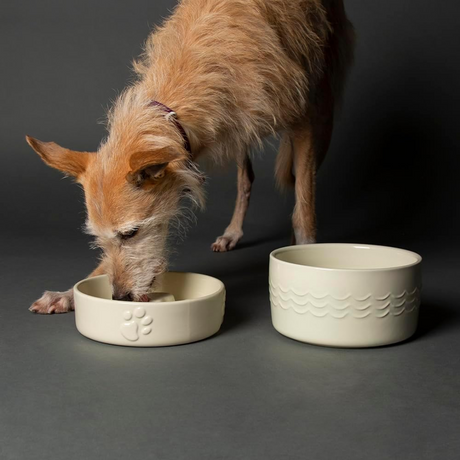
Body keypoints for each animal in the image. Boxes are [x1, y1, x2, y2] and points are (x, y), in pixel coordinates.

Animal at [26, 0, 356, 312]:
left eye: (130, 234)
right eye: (98, 239)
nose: (119, 297)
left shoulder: (304, 119)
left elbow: (304, 204)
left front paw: (307, 252)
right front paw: (69, 293)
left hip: (321, 100)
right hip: (241, 130)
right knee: (246, 178)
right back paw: (233, 232)